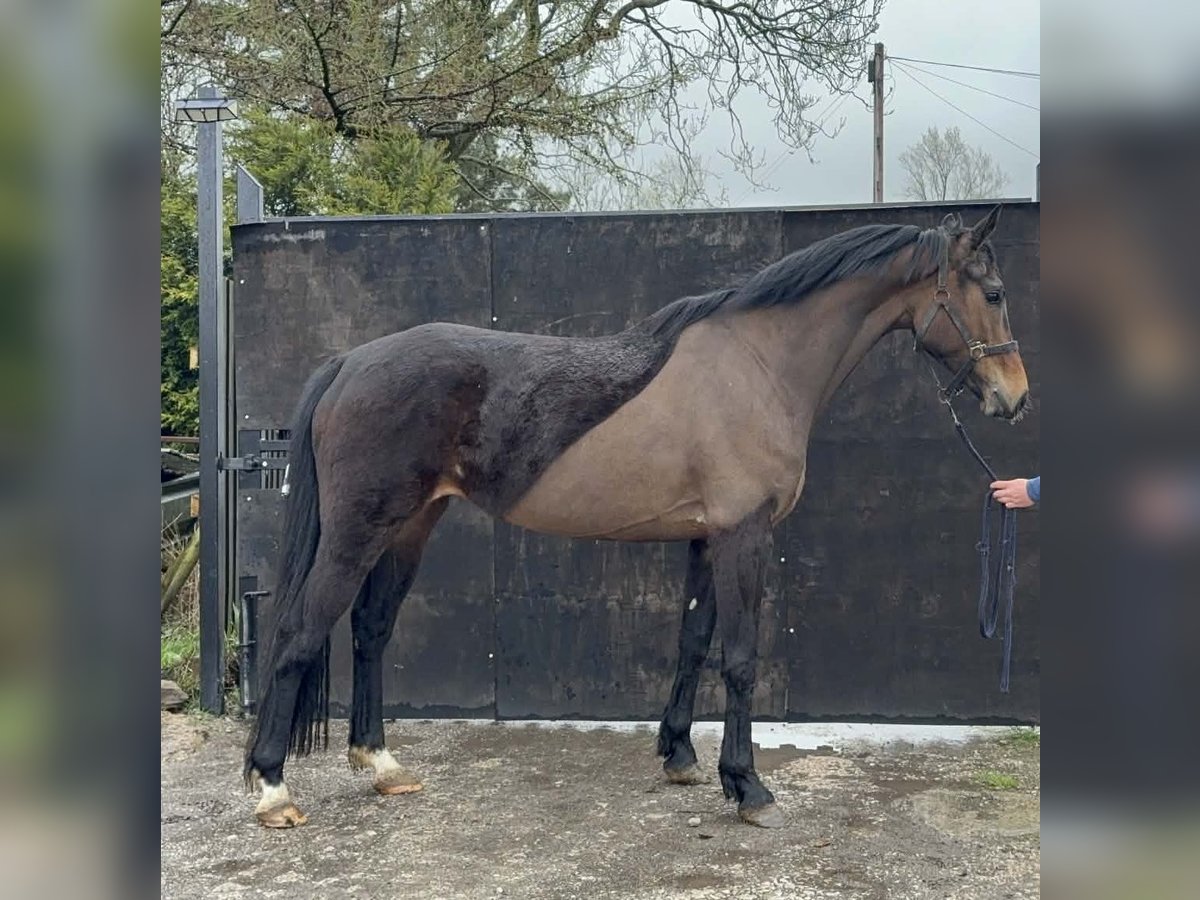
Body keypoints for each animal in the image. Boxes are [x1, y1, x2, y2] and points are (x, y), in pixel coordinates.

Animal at [243, 206, 1029, 829]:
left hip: (410, 526)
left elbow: (692, 642)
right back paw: (273, 788)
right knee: (299, 633)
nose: (1014, 398)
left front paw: (680, 755)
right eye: (992, 292)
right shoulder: (744, 536)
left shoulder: (706, 539)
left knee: (372, 629)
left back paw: (380, 765)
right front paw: (747, 786)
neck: (758, 365)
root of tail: (351, 362)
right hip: (359, 529)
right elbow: (739, 659)